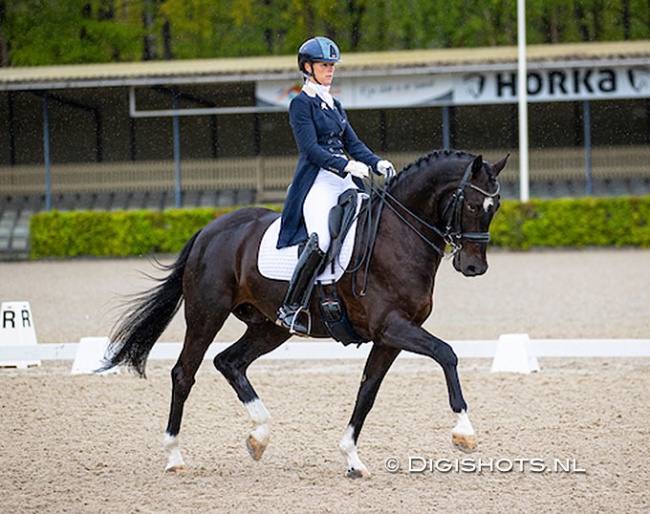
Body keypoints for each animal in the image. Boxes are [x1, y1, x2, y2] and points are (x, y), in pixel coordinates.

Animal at [102, 148, 506, 476]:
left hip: (271, 326)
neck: (397, 235)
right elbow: (446, 353)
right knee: (185, 373)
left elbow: (368, 390)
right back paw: (174, 455)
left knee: (229, 362)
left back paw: (259, 436)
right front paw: (464, 433)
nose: (475, 267)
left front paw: (352, 458)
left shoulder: (390, 337)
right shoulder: (391, 326)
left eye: (496, 207)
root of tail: (209, 228)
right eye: (472, 205)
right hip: (206, 314)